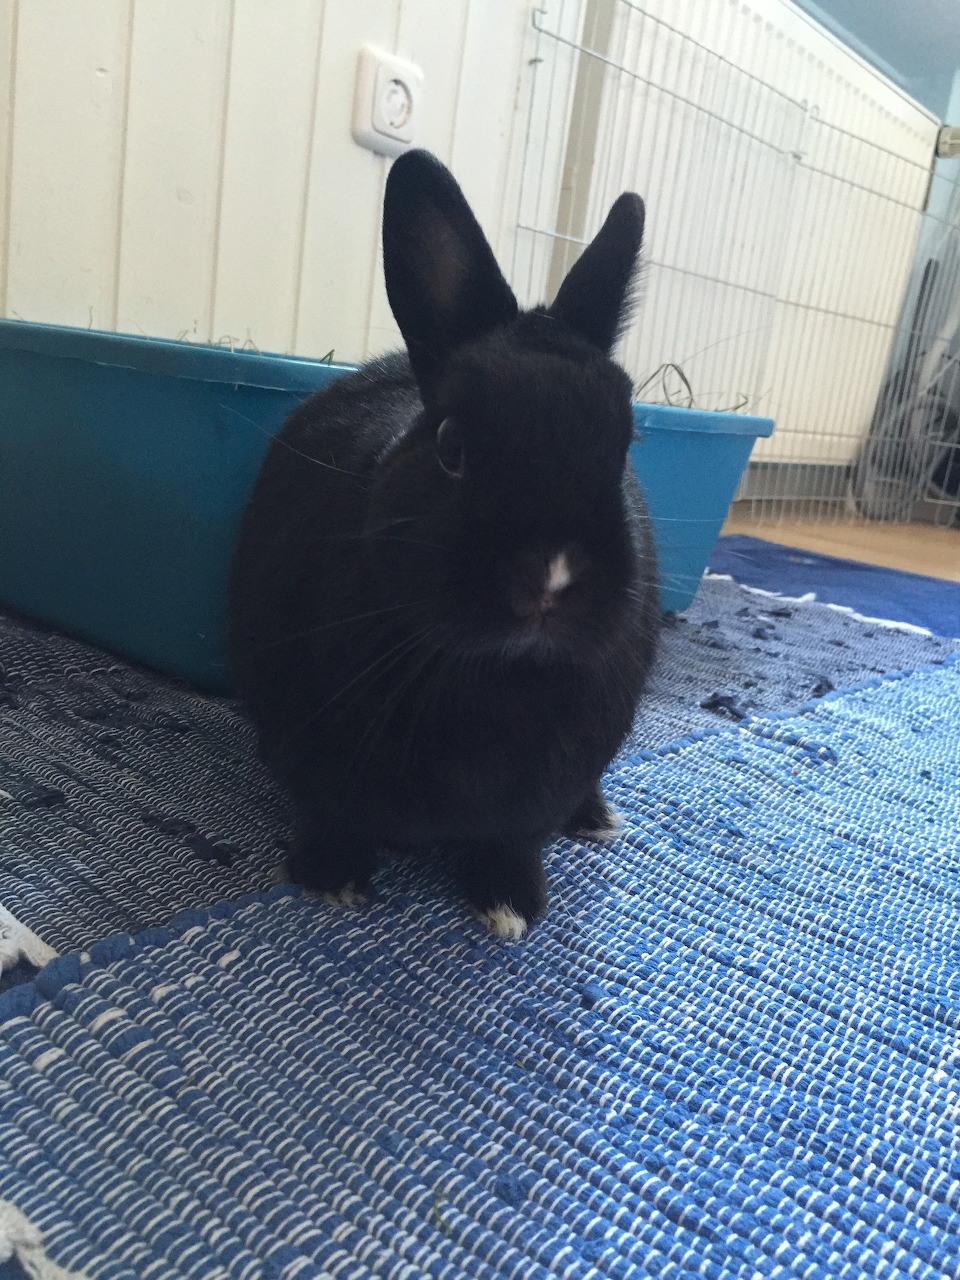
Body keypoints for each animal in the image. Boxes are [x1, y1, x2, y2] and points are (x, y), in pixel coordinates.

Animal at [230, 149, 659, 940]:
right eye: (452, 445)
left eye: (625, 445)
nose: (551, 579)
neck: (492, 673)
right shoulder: (313, 760)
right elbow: (333, 817)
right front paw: (329, 879)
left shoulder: (539, 795)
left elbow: (515, 840)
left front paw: (511, 906)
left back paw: (596, 819)